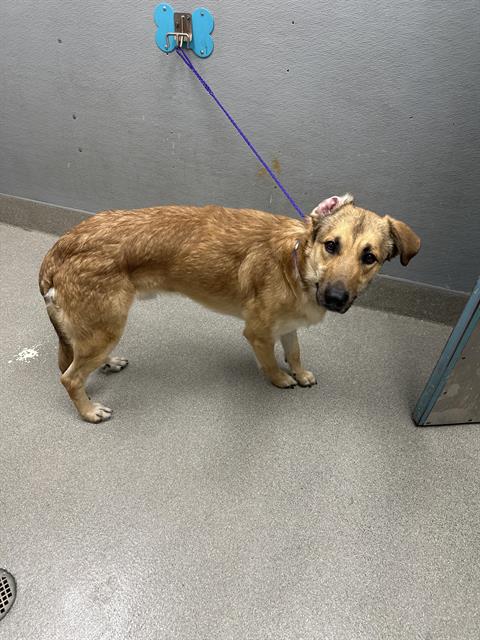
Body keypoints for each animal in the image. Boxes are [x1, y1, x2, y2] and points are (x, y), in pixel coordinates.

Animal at [39, 194, 420, 422]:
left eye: (369, 257)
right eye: (331, 246)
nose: (336, 298)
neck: (295, 262)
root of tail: (59, 249)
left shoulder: (288, 327)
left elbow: (294, 352)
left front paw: (299, 372)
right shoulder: (258, 334)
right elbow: (271, 364)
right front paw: (282, 380)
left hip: (100, 330)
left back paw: (109, 364)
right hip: (106, 328)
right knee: (70, 377)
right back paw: (89, 411)